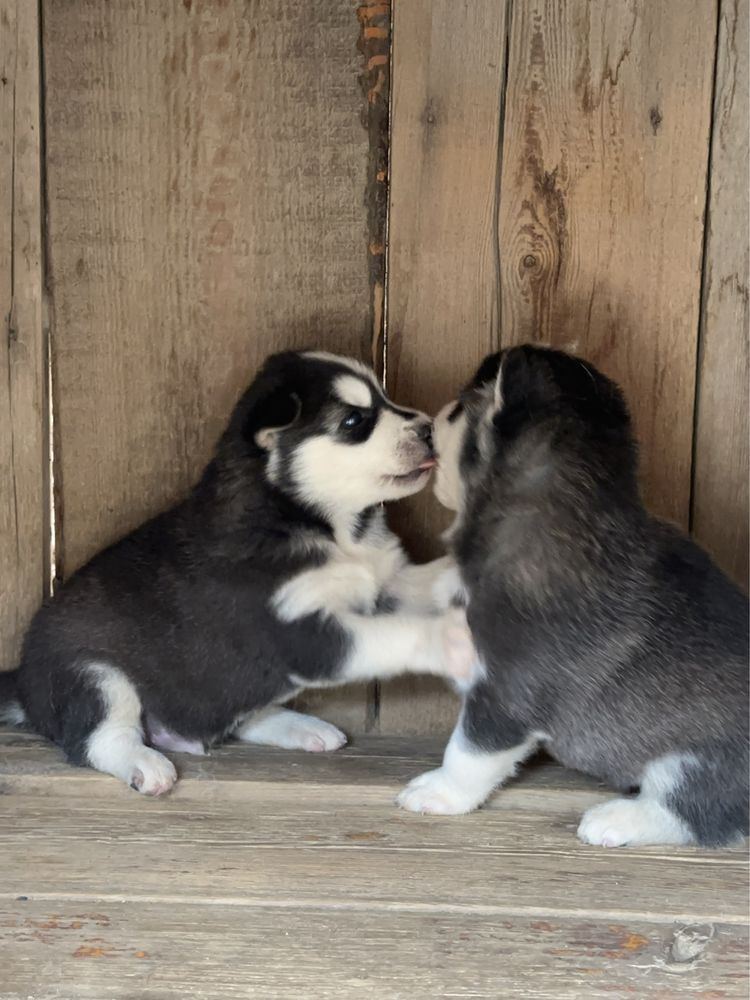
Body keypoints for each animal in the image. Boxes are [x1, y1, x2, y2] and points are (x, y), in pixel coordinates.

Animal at [0, 352, 470, 796]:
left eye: (386, 397)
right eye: (354, 421)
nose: (429, 429)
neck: (326, 524)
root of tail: (21, 682)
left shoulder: (388, 581)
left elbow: (430, 583)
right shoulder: (300, 632)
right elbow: (395, 635)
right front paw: (448, 641)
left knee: (239, 712)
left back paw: (299, 726)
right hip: (93, 674)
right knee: (100, 738)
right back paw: (144, 763)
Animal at [396, 348, 748, 848]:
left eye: (457, 411)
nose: (426, 425)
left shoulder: (507, 694)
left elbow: (467, 752)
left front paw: (440, 792)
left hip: (694, 764)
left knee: (696, 811)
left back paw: (617, 819)